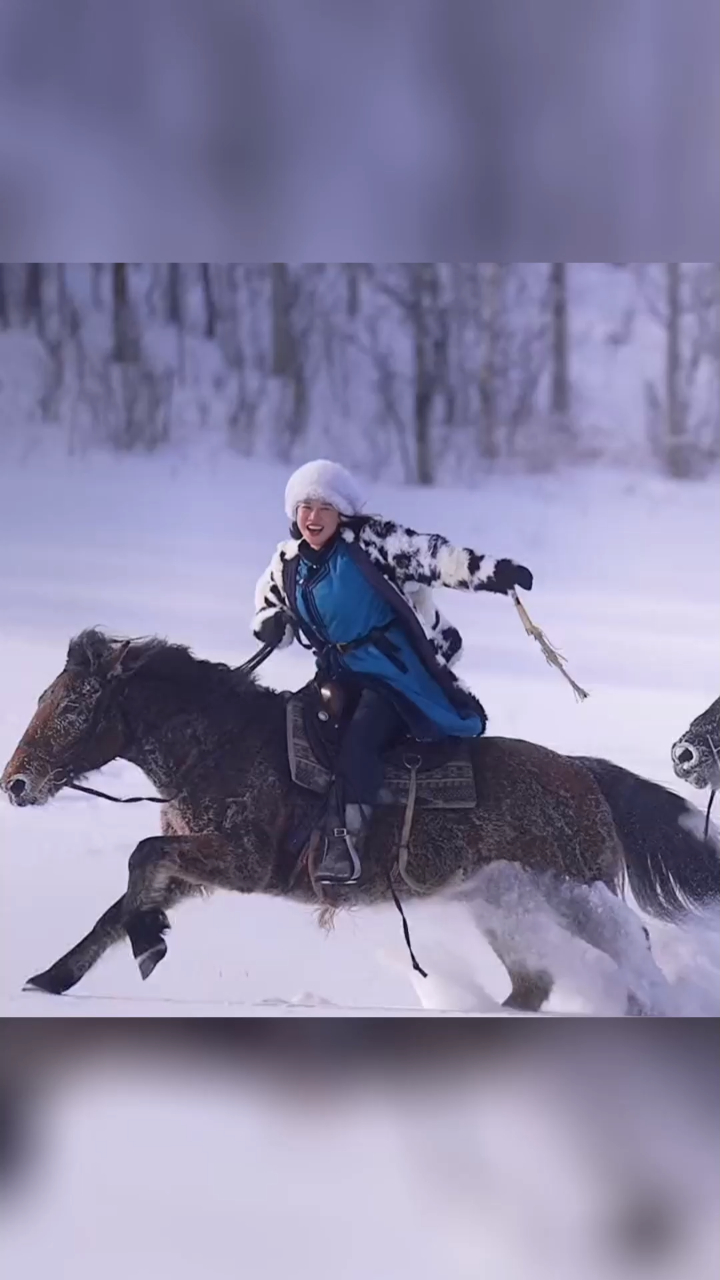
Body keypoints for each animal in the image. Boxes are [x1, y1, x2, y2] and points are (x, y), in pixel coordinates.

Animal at [2, 629, 712, 1008]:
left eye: (73, 707)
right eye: (43, 697)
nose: (16, 784)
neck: (220, 743)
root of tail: (582, 772)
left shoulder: (241, 863)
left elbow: (139, 859)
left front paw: (148, 944)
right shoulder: (195, 864)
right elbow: (119, 904)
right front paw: (51, 979)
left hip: (573, 891)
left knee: (630, 943)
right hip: (505, 905)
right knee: (532, 982)